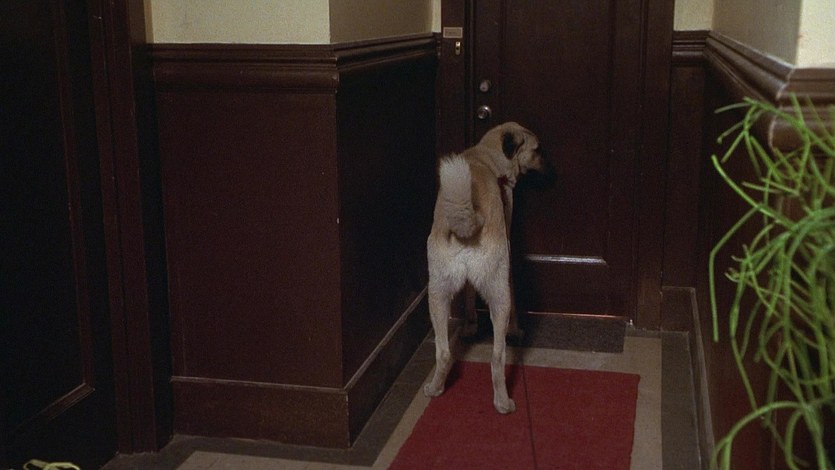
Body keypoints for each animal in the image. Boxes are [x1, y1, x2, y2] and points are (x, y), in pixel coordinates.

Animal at [424, 122, 545, 414]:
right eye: (537, 150)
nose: (548, 167)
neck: (486, 156)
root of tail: (468, 224)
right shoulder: (507, 258)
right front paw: (516, 330)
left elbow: (469, 295)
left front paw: (469, 326)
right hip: (499, 297)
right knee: (497, 358)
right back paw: (502, 402)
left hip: (436, 294)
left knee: (444, 353)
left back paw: (436, 388)